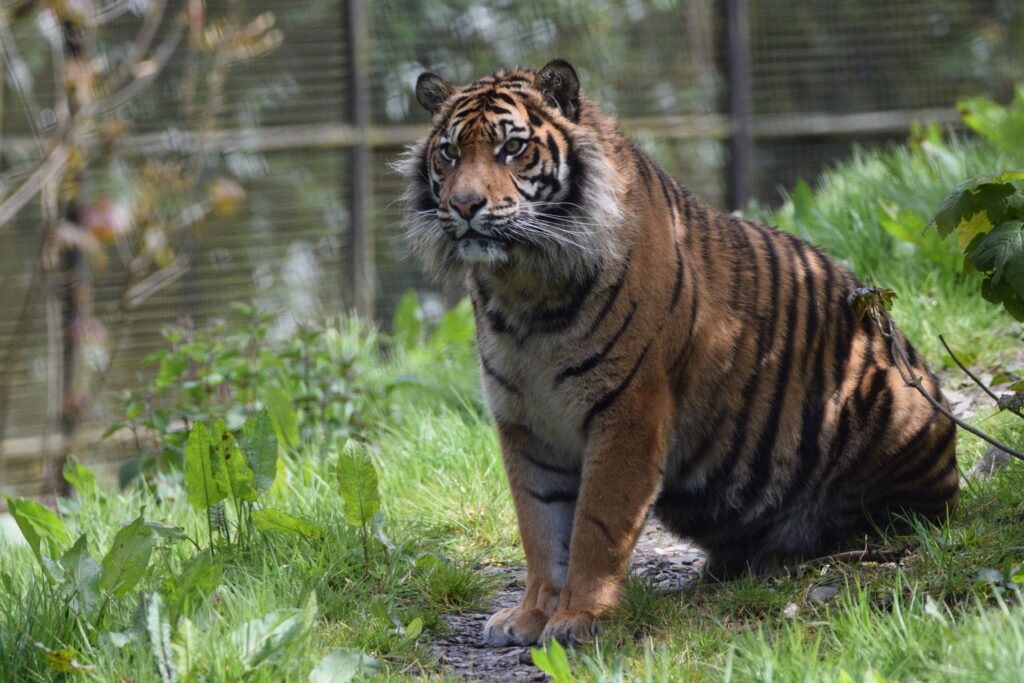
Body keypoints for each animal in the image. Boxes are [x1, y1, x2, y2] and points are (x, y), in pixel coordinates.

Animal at [395, 60, 954, 647]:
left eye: (512, 148)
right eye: (450, 153)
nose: (464, 205)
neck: (525, 289)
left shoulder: (629, 410)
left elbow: (597, 524)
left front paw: (580, 617)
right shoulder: (525, 422)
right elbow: (541, 528)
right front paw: (531, 614)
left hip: (889, 407)